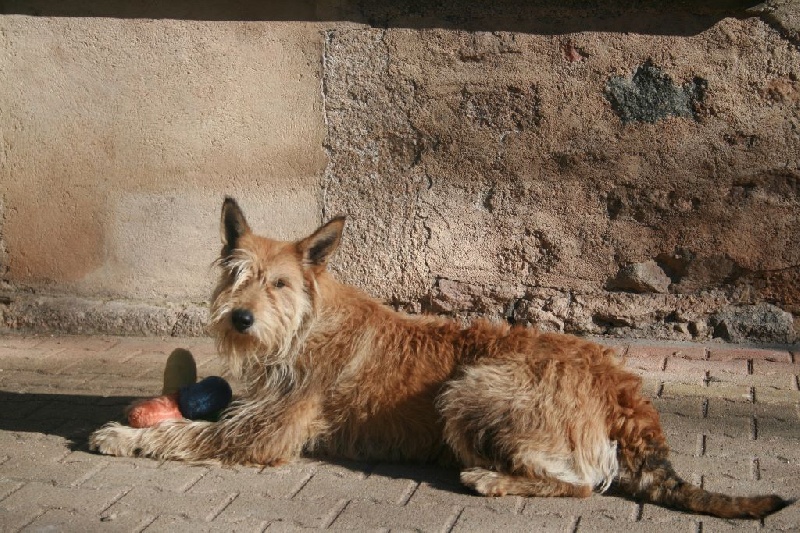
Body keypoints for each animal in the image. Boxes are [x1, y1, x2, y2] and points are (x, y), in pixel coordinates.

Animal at [90, 197, 792, 516]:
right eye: (236, 275)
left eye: (281, 284)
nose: (241, 319)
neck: (307, 323)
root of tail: (622, 388)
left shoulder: (267, 431)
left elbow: (191, 436)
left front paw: (125, 435)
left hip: (472, 386)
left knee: (580, 484)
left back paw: (492, 478)